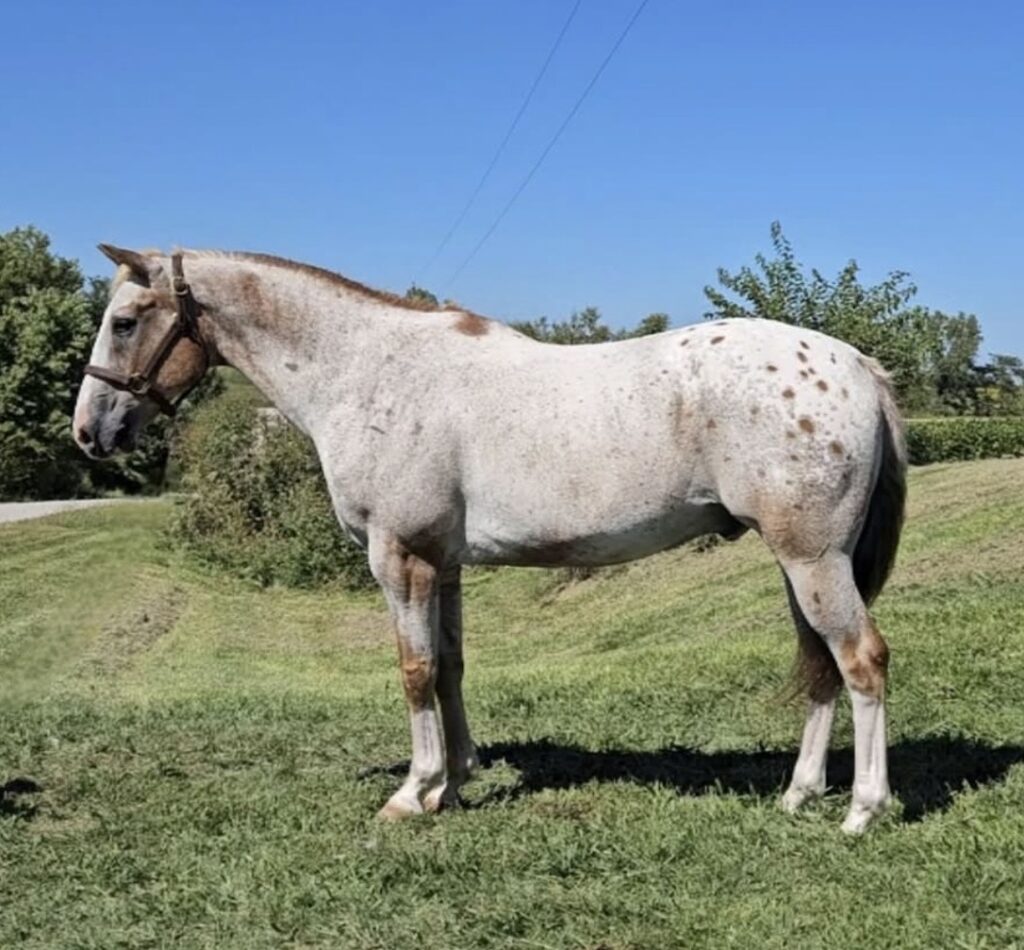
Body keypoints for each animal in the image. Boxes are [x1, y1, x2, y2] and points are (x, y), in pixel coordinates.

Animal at [74, 245, 906, 833]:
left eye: (124, 321)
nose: (89, 432)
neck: (368, 372)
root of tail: (857, 365)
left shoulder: (398, 557)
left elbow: (412, 671)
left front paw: (412, 792)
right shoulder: (441, 565)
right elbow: (449, 667)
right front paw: (456, 778)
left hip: (812, 558)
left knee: (860, 661)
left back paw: (862, 810)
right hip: (802, 563)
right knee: (822, 666)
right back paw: (799, 794)